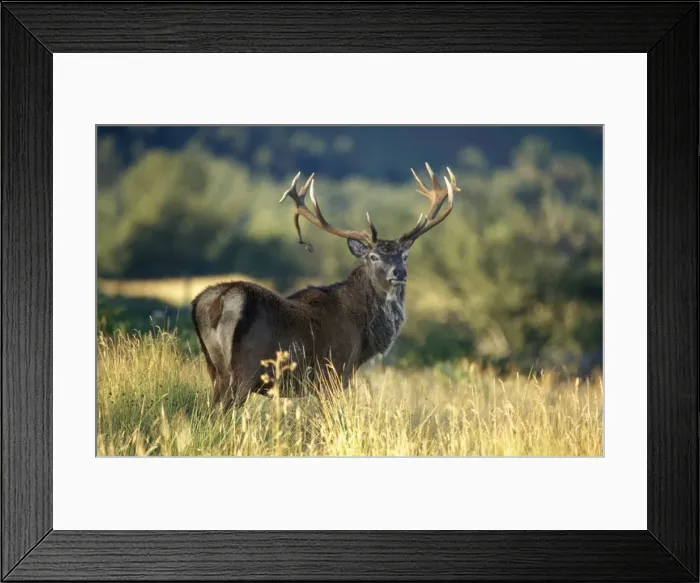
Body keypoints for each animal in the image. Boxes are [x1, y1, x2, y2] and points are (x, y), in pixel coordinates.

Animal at [191, 163, 461, 410]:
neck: (364, 335)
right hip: (244, 371)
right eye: (374, 257)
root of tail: (216, 301)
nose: (399, 272)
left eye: (404, 256)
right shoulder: (334, 372)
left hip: (215, 369)